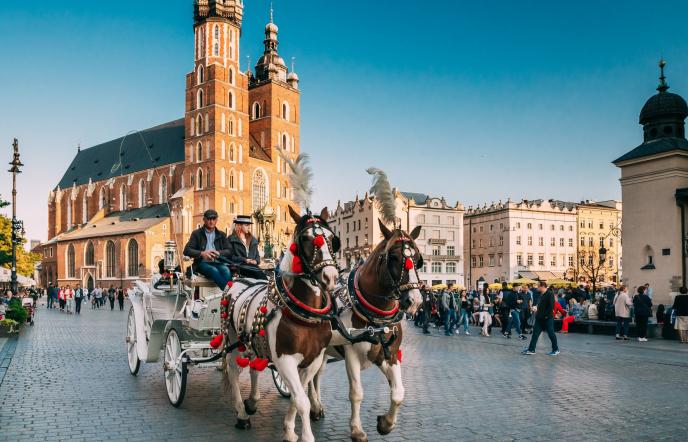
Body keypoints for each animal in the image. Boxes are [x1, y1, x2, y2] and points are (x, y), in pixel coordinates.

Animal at [220, 207, 338, 442]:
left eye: (331, 239)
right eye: (305, 238)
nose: (330, 277)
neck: (303, 314)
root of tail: (238, 278)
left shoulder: (313, 360)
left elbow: (296, 396)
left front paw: (289, 430)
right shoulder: (285, 361)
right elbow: (301, 400)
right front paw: (305, 436)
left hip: (253, 342)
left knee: (254, 368)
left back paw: (252, 401)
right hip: (233, 339)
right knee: (233, 370)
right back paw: (241, 414)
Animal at [312, 221, 424, 442]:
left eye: (417, 259)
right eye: (394, 257)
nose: (415, 301)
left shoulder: (388, 355)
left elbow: (398, 392)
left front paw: (385, 424)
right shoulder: (352, 355)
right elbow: (356, 393)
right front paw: (357, 430)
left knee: (316, 375)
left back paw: (317, 407)